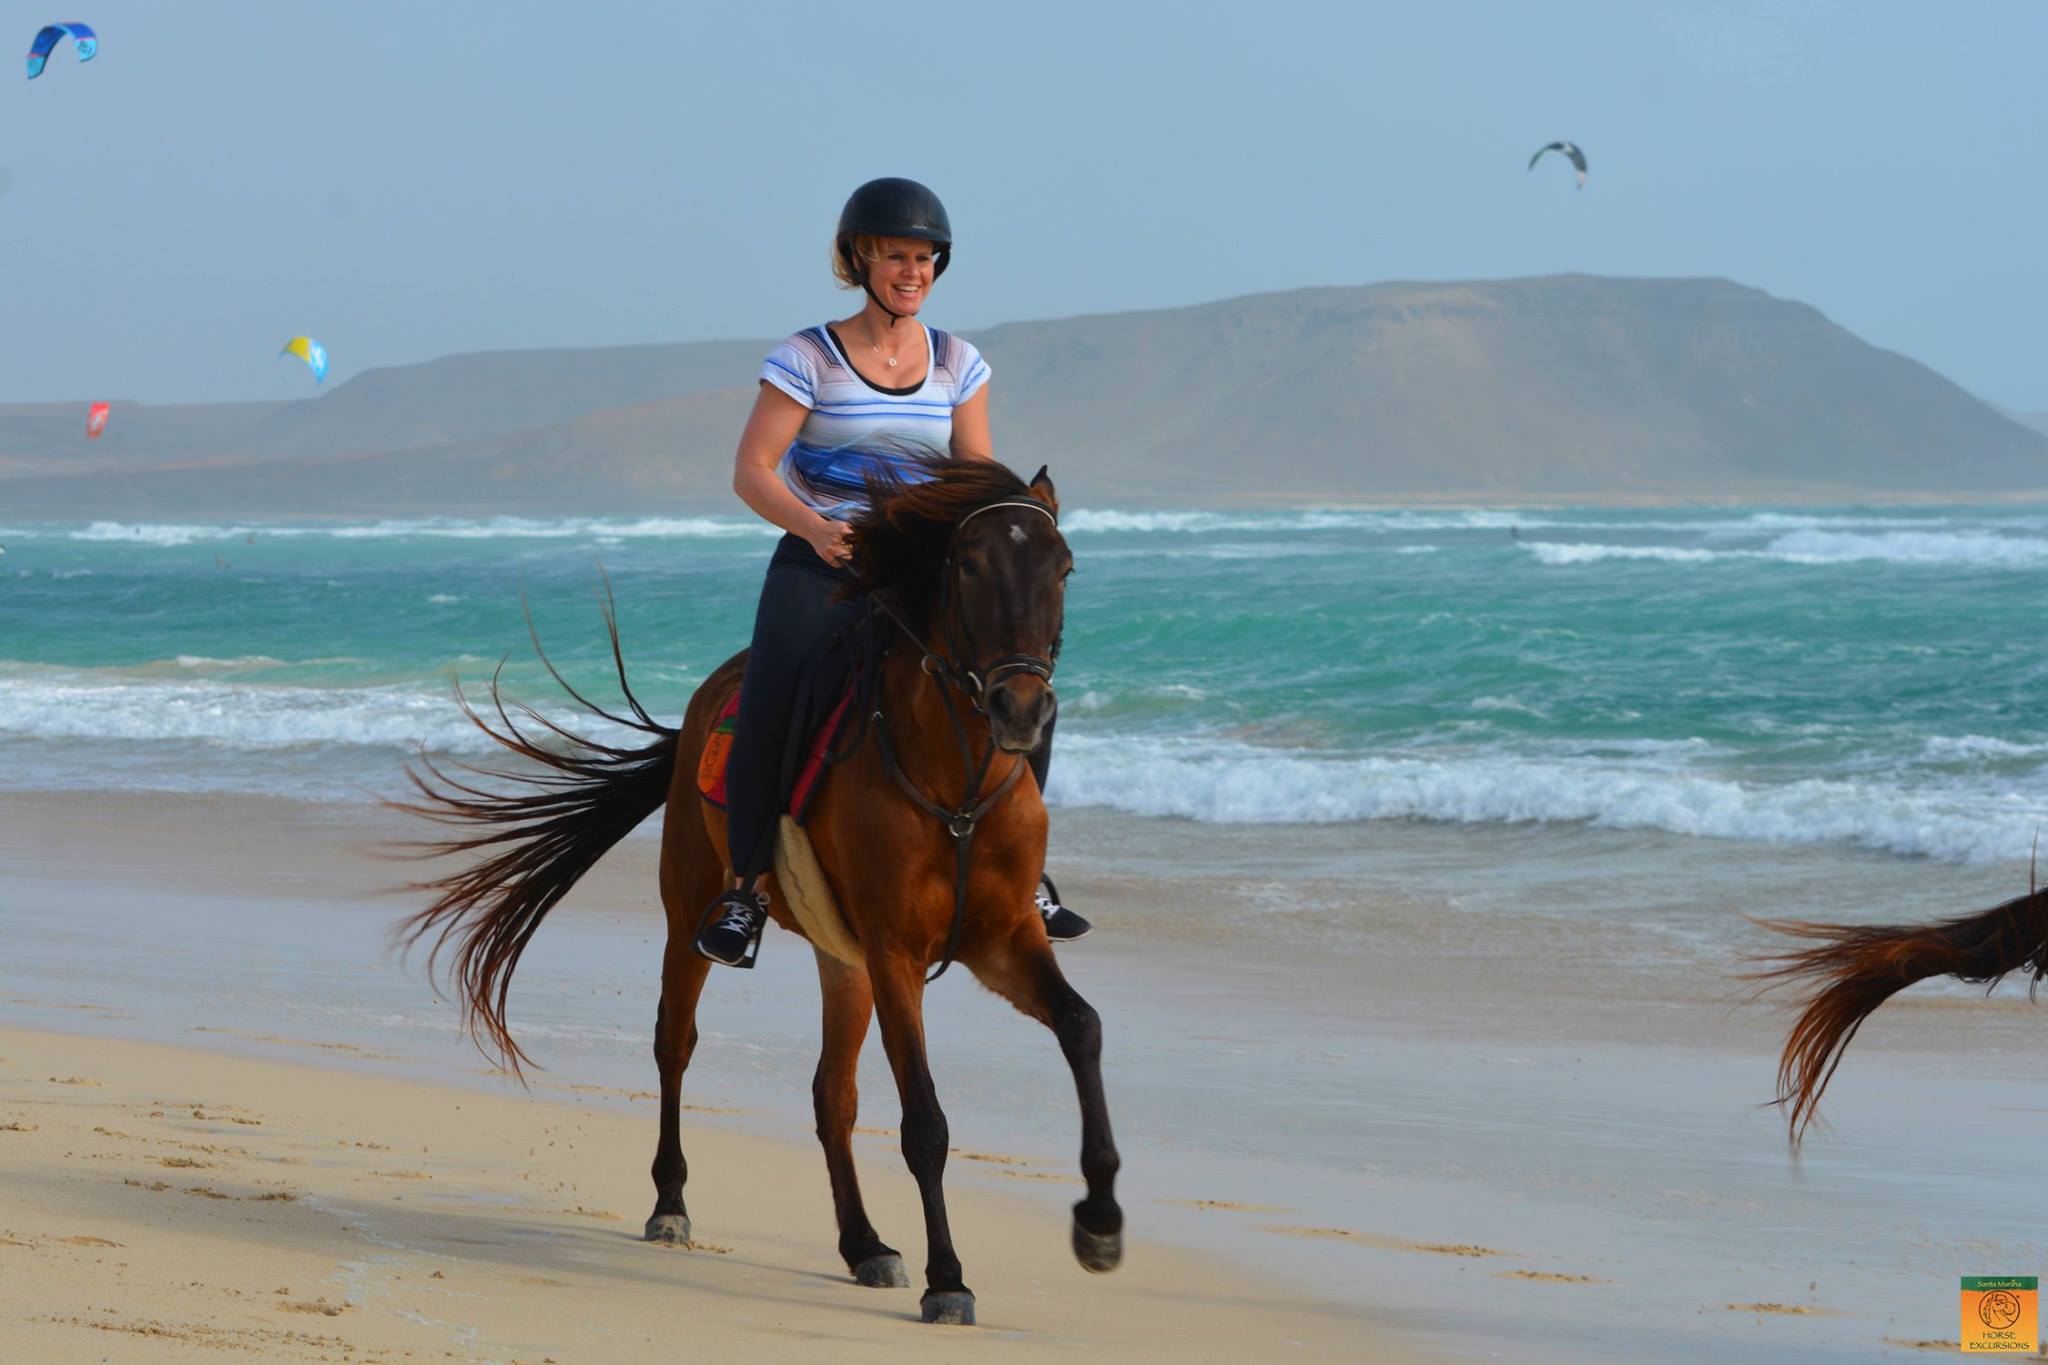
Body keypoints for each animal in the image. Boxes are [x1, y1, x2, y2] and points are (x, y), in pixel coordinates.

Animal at [390, 459, 1121, 1326]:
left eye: (1064, 566)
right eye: (970, 564)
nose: (1021, 708)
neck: (957, 782)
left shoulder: (1000, 937)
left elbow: (1081, 1026)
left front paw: (1099, 1222)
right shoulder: (898, 952)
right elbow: (926, 1120)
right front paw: (949, 1277)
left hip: (844, 961)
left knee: (831, 1094)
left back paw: (864, 1243)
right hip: (693, 914)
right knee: (675, 1043)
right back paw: (671, 1203)